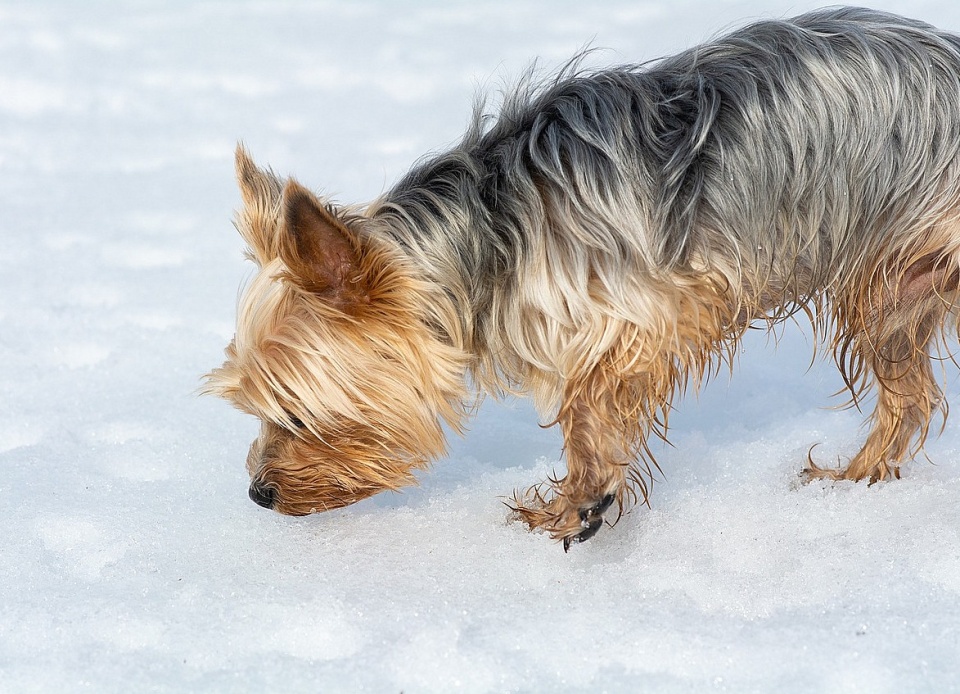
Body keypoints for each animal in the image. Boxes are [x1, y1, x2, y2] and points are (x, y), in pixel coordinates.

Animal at [206, 5, 960, 548]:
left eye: (297, 412)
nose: (258, 494)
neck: (490, 231)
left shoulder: (641, 315)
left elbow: (586, 405)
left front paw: (579, 506)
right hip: (898, 284)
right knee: (912, 394)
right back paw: (856, 480)